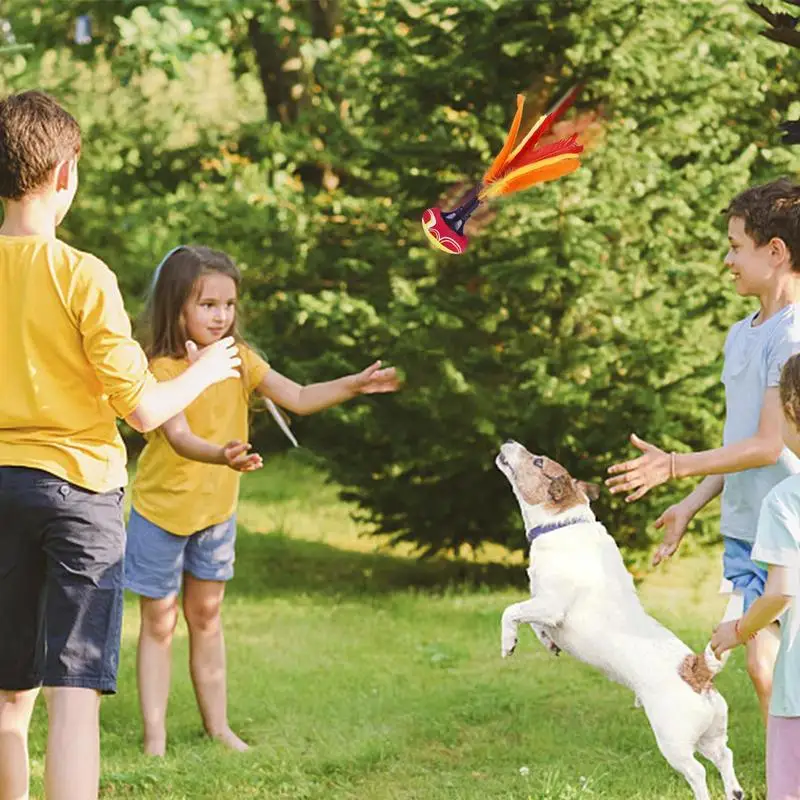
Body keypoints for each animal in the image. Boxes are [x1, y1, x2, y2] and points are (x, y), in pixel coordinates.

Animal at [494, 440, 744, 796]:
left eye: (538, 461)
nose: (510, 442)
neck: (564, 523)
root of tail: (697, 669)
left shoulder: (550, 603)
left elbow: (512, 611)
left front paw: (509, 642)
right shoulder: (544, 605)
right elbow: (538, 624)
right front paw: (547, 643)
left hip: (674, 741)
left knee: (697, 772)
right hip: (710, 734)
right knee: (725, 756)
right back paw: (734, 792)